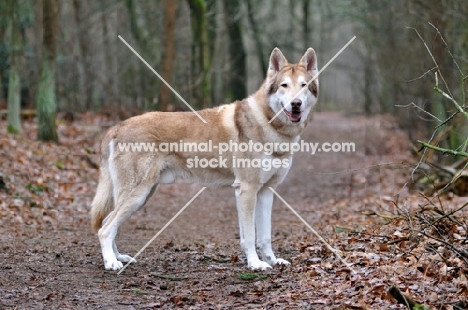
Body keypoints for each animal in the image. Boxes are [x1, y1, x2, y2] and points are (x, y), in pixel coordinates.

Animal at [90, 47, 320, 270]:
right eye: (284, 85)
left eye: (304, 86)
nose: (296, 104)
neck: (270, 125)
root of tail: (115, 127)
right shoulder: (246, 190)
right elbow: (249, 236)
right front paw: (255, 264)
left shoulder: (266, 191)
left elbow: (265, 236)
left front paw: (272, 261)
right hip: (137, 195)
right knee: (105, 229)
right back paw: (111, 263)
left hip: (142, 196)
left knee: (108, 223)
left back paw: (119, 257)